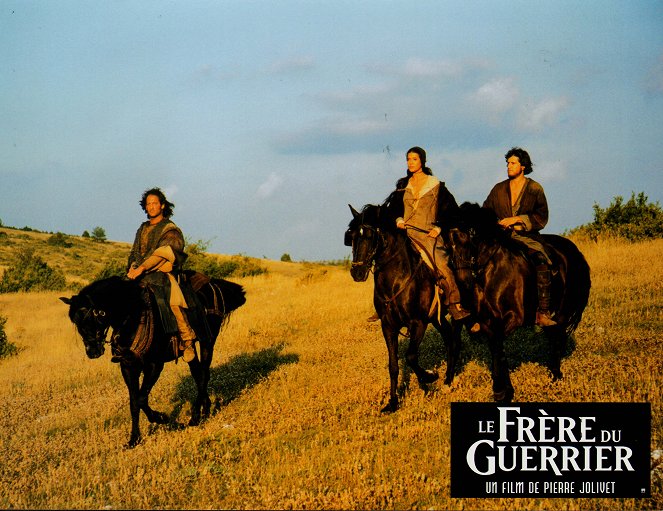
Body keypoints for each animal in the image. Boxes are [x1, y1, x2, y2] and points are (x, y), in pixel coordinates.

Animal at [59, 272, 245, 448]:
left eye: (93, 316)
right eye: (76, 322)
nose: (92, 352)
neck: (133, 316)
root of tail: (213, 284)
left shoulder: (155, 365)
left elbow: (141, 398)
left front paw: (162, 418)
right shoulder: (128, 366)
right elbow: (134, 402)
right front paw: (134, 439)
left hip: (208, 339)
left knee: (204, 374)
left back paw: (195, 417)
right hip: (191, 348)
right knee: (198, 373)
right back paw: (204, 410)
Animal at [446, 204, 592, 404]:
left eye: (471, 234)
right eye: (447, 243)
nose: (463, 281)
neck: (491, 271)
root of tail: (575, 252)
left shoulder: (512, 318)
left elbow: (497, 347)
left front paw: (501, 391)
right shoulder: (480, 321)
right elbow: (490, 348)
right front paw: (504, 389)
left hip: (562, 313)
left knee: (557, 339)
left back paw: (556, 377)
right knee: (553, 337)